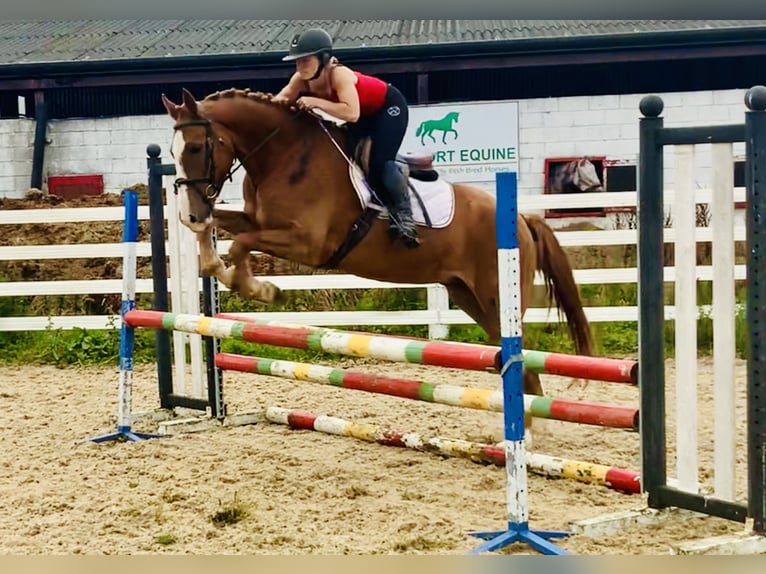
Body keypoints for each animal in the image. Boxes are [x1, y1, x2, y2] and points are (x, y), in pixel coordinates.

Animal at [162, 88, 592, 398]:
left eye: (196, 148)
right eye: (171, 153)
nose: (189, 213)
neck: (284, 154)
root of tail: (521, 218)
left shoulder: (308, 242)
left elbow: (242, 243)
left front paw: (259, 288)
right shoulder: (258, 221)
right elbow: (220, 233)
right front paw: (215, 263)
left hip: (496, 295)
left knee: (526, 353)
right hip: (468, 295)